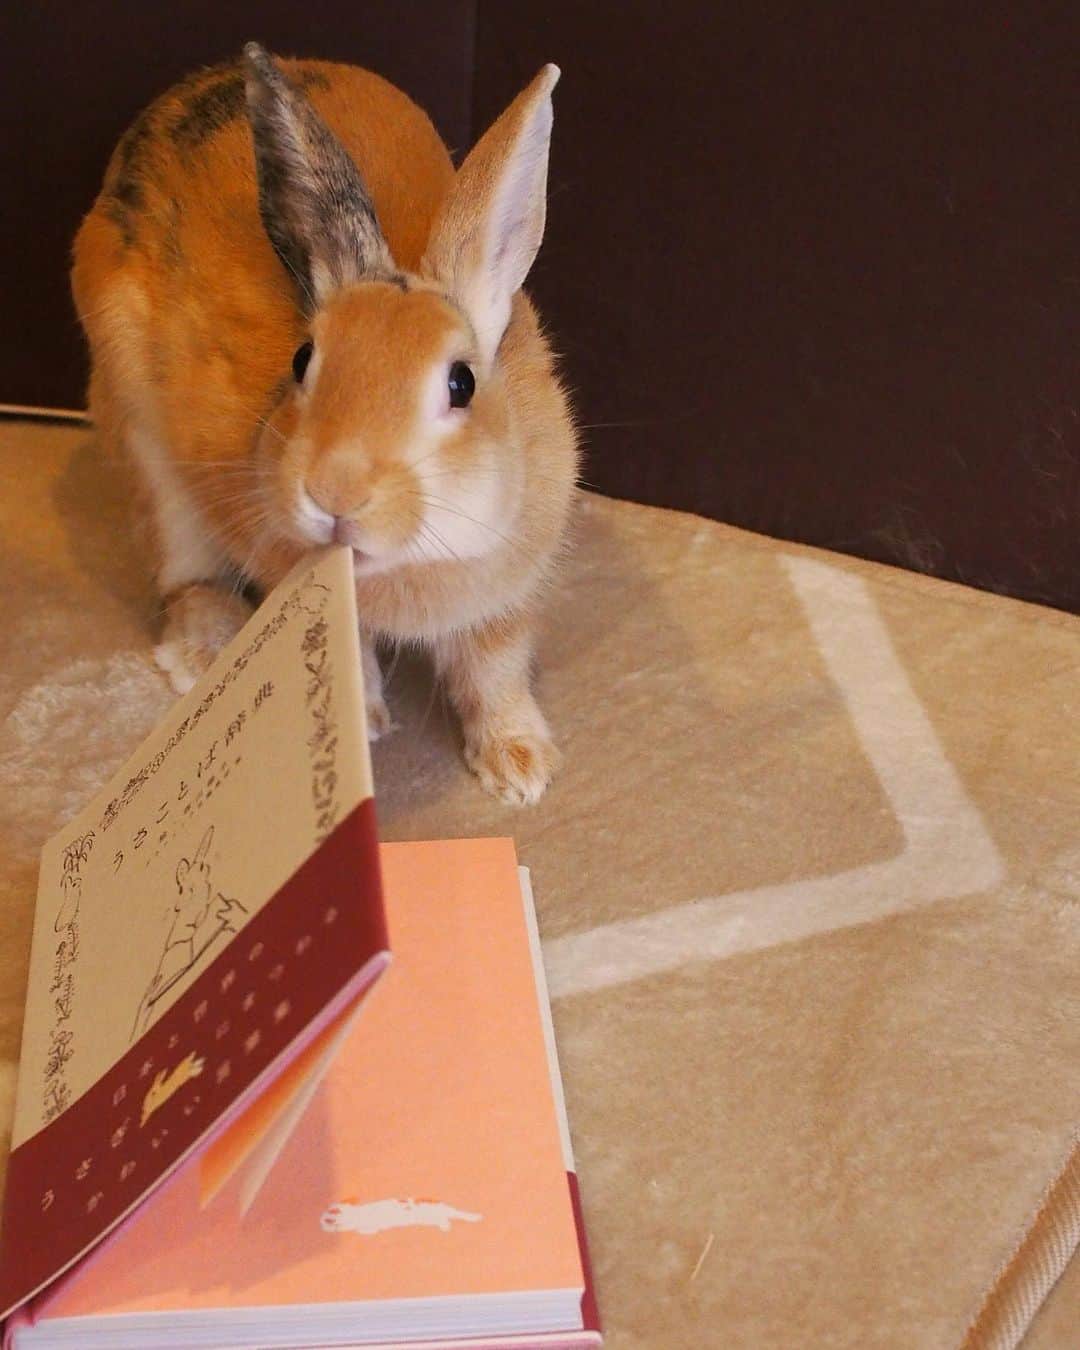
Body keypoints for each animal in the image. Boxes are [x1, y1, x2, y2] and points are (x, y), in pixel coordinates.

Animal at [71, 43, 578, 806]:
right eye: (303, 359)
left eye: (460, 383)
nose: (335, 494)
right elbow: (353, 652)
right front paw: (363, 724)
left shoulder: (506, 598)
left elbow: (496, 667)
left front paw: (521, 770)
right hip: (147, 450)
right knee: (185, 575)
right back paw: (203, 652)